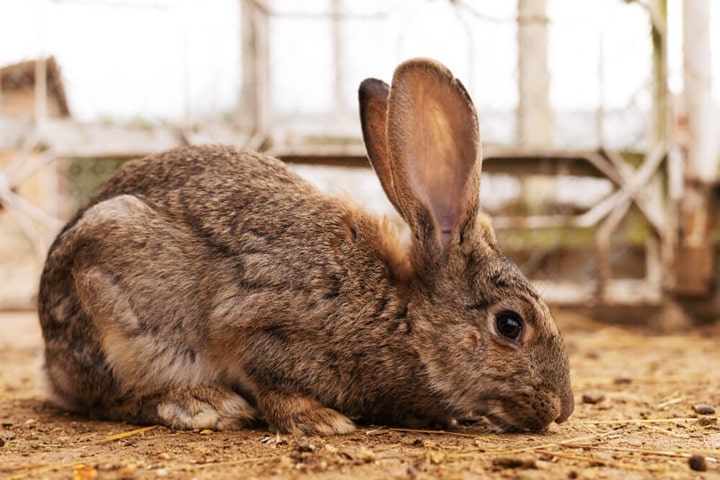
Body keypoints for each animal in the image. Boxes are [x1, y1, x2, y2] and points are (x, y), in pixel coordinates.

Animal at [38, 58, 573, 435]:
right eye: (510, 325)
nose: (563, 408)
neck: (405, 316)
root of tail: (51, 362)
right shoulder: (260, 327)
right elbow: (272, 383)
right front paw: (320, 421)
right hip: (110, 303)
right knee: (107, 398)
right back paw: (201, 404)